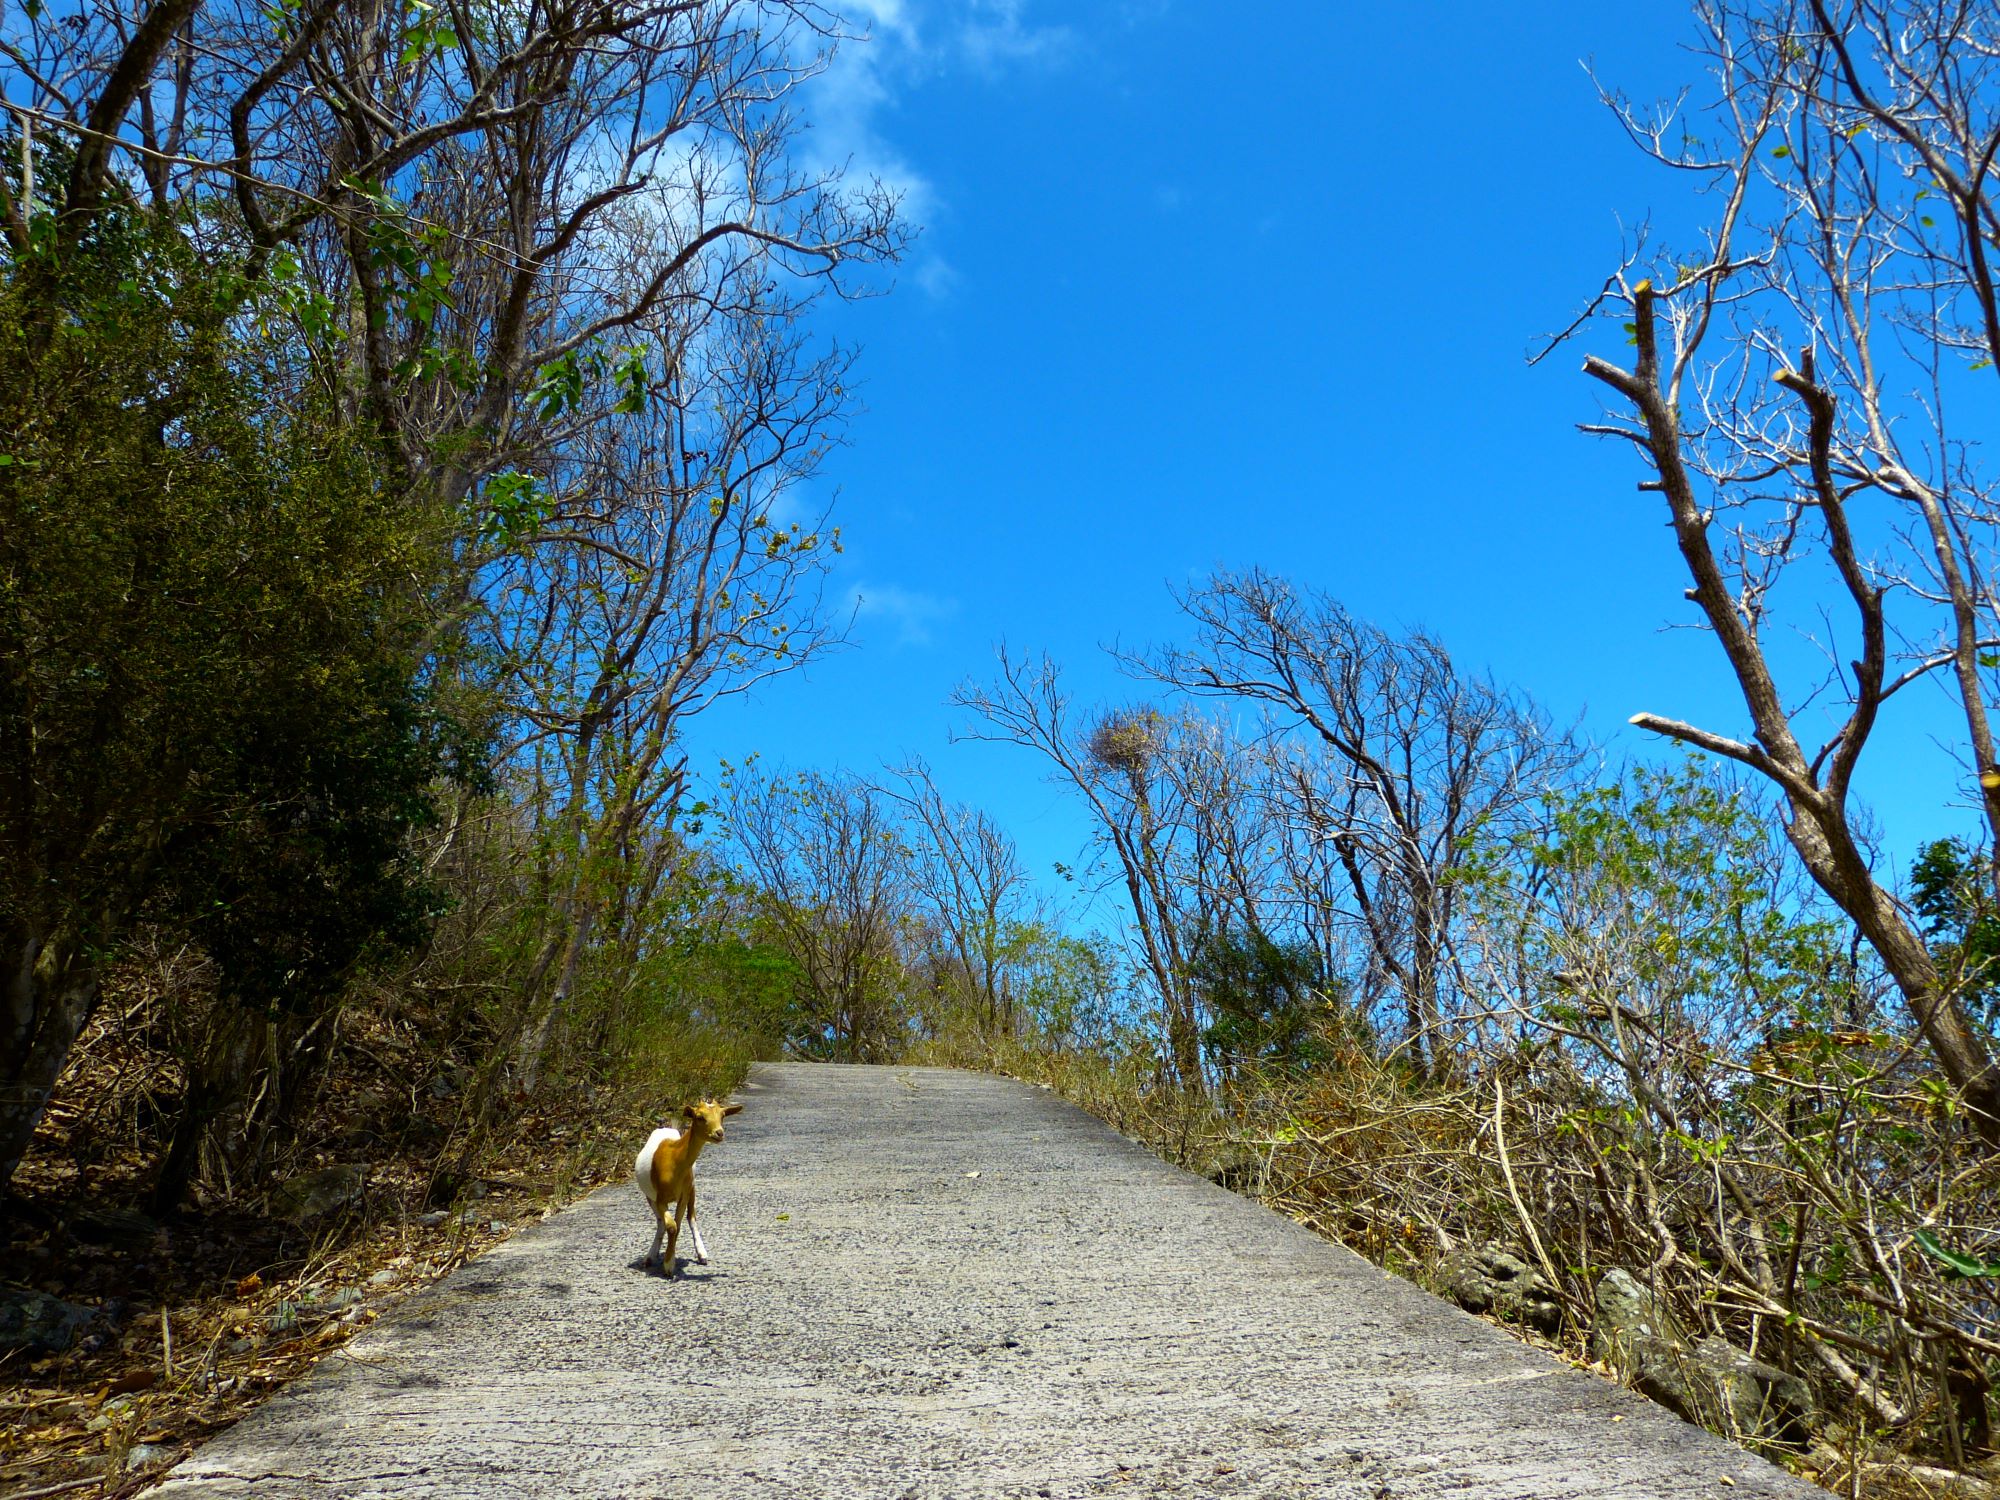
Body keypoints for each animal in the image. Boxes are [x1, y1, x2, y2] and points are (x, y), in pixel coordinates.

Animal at [634, 1100, 741, 1274]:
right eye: (700, 1117)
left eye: (723, 1115)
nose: (719, 1133)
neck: (673, 1161)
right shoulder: (660, 1198)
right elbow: (671, 1226)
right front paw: (668, 1265)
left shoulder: (684, 1193)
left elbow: (677, 1225)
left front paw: (669, 1263)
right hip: (649, 1196)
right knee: (660, 1222)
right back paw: (650, 1257)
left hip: (692, 1189)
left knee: (691, 1217)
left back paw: (702, 1254)